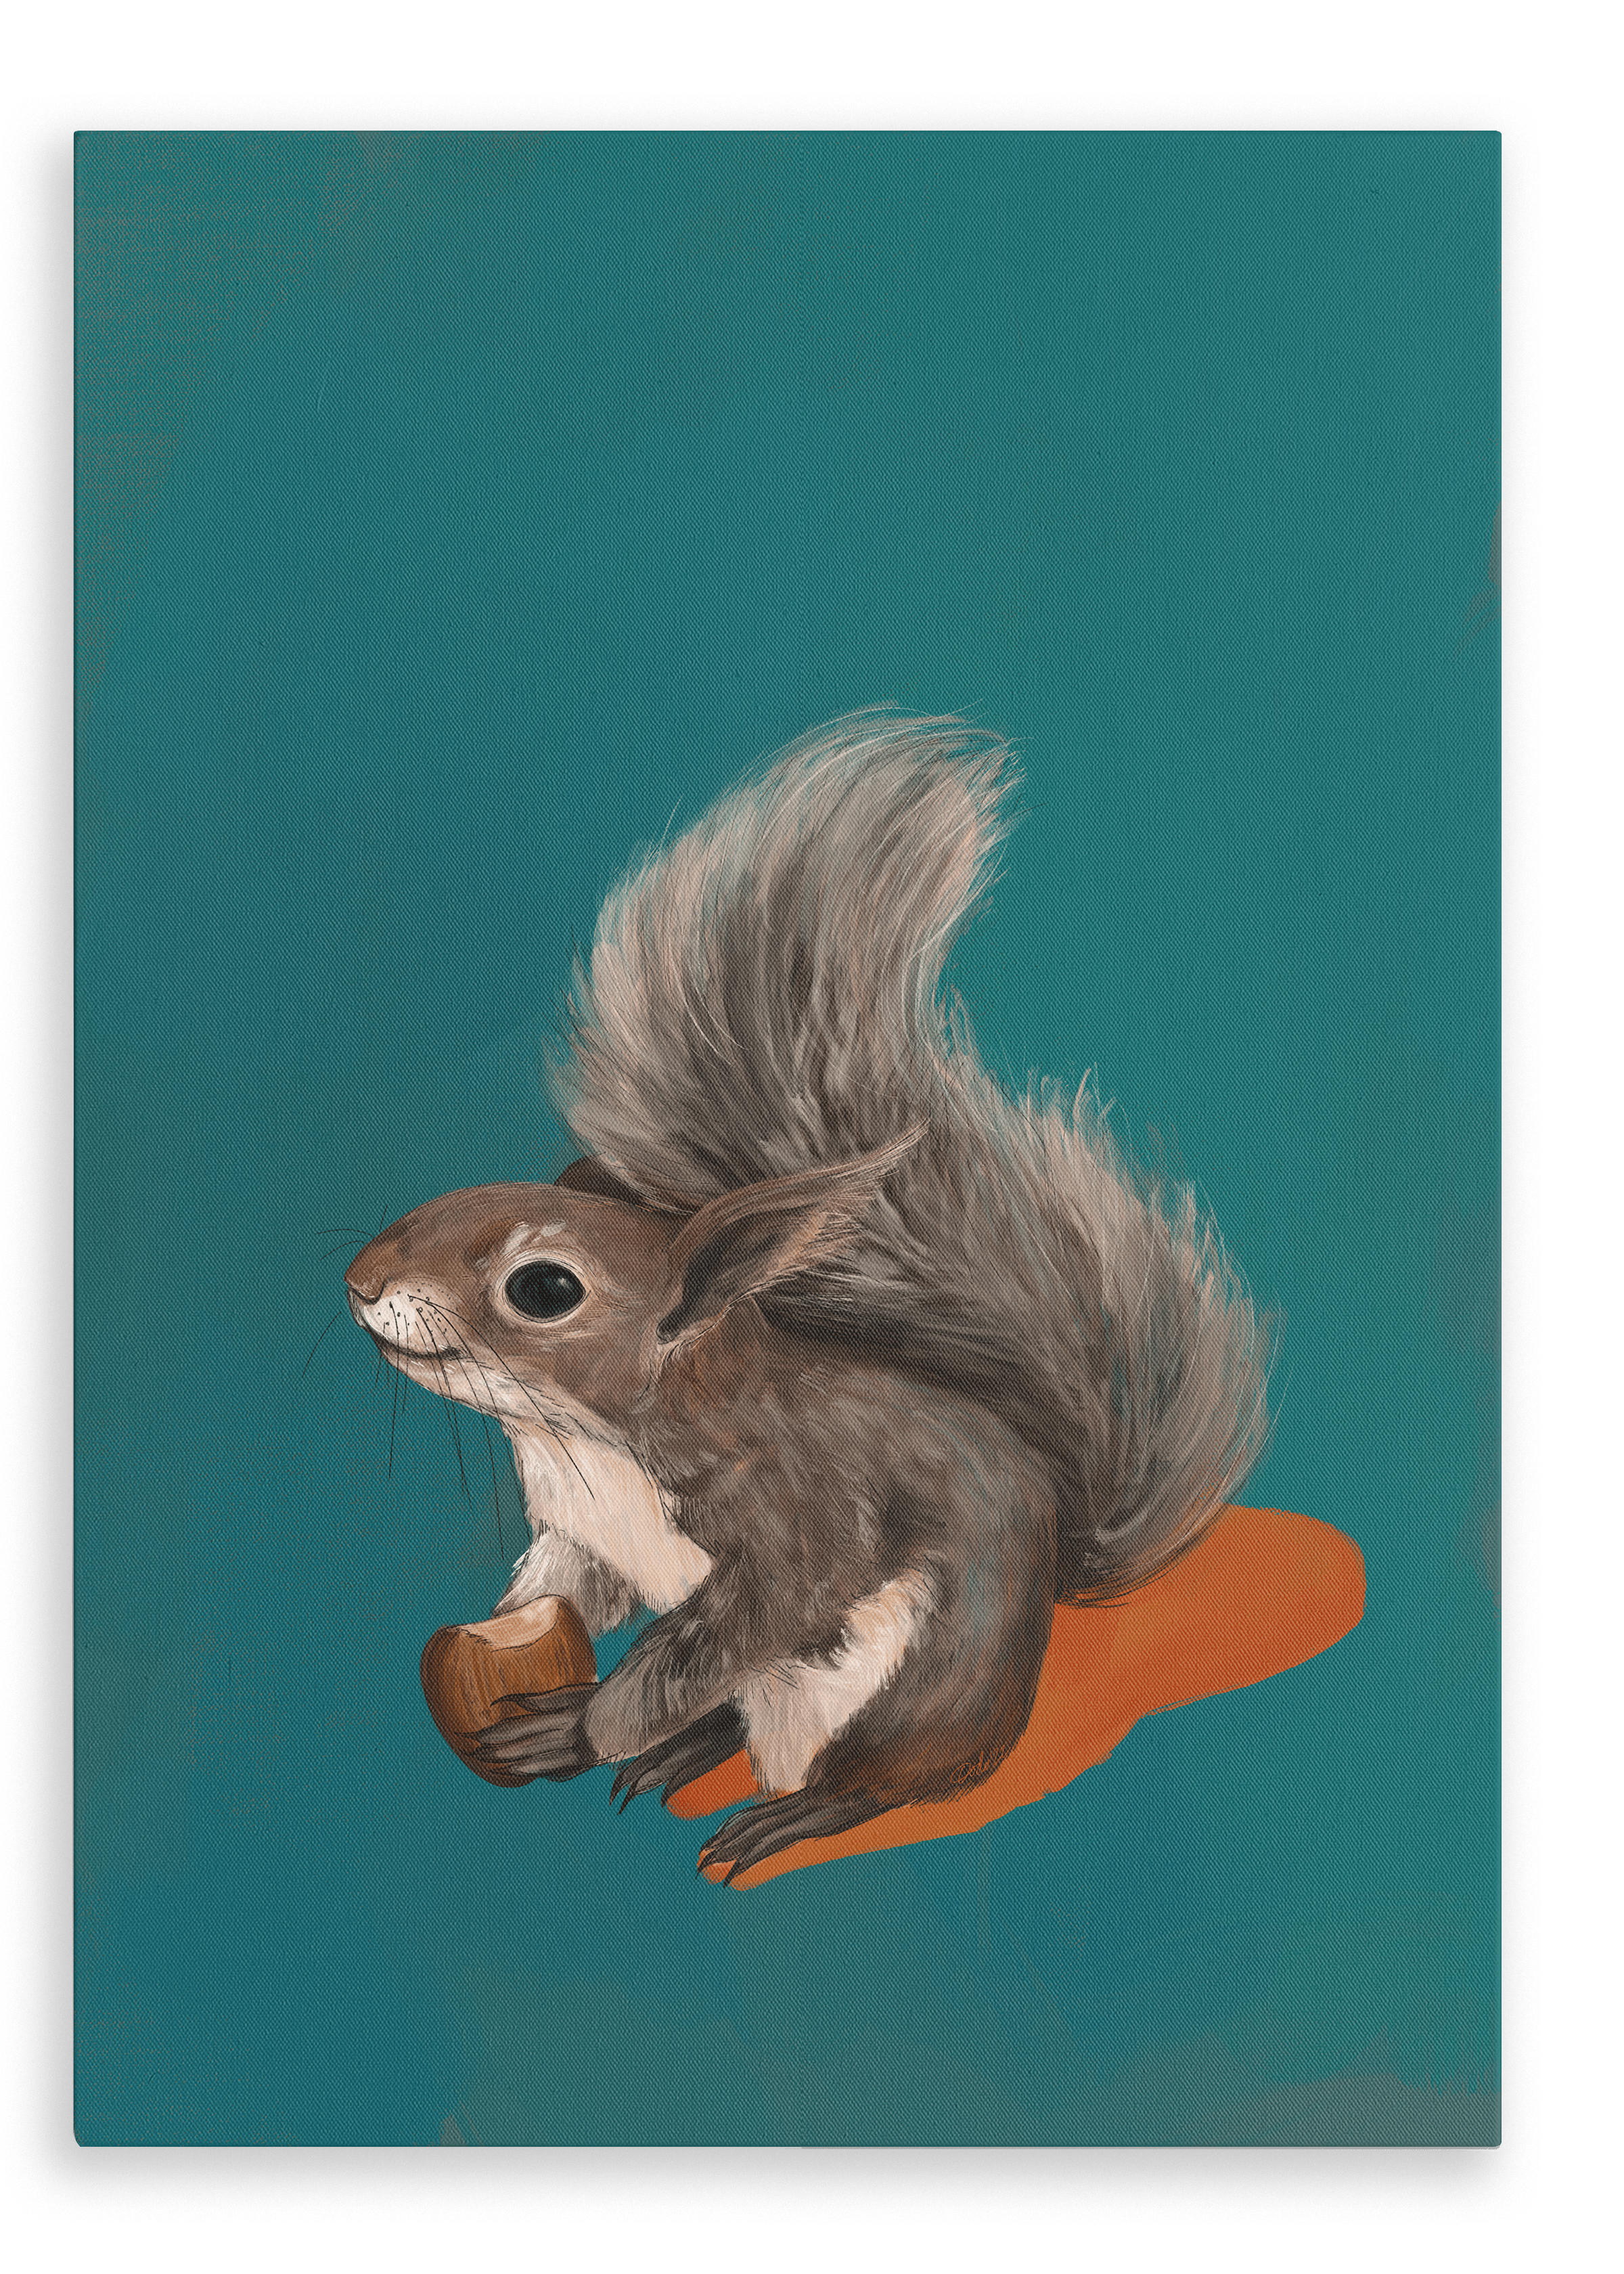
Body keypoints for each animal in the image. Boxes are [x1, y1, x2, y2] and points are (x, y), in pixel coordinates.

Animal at [345, 710, 1270, 1883]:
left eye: (544, 1288)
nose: (360, 1283)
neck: (588, 1440)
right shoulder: (576, 1533)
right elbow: (563, 1589)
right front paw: (516, 1641)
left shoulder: (798, 1518)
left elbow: (742, 1621)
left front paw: (599, 1724)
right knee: (729, 1717)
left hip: (905, 1692)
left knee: (876, 1775)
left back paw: (775, 1806)